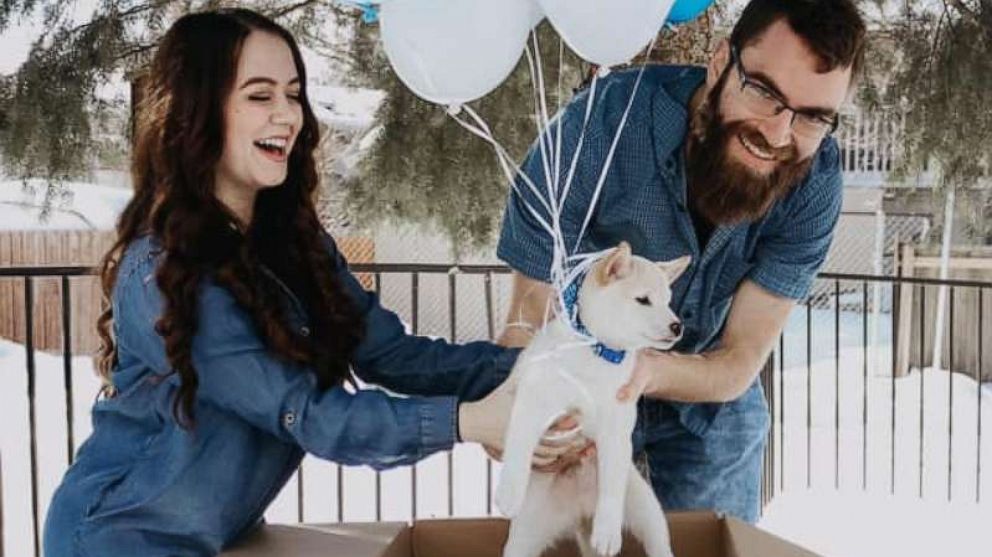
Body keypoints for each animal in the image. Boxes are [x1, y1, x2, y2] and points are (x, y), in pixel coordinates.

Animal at [496, 242, 688, 556]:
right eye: (643, 300)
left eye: (668, 301)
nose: (677, 326)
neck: (598, 353)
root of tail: (580, 511)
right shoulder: (534, 398)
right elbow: (520, 443)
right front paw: (508, 491)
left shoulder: (616, 430)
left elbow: (611, 488)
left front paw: (608, 531)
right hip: (524, 535)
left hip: (646, 508)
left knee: (658, 540)